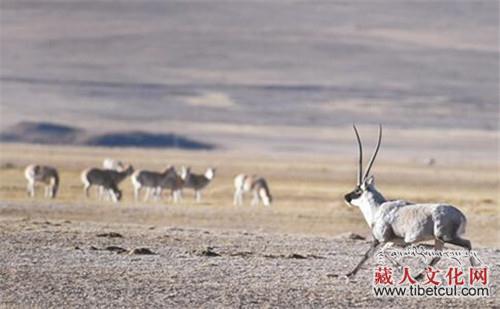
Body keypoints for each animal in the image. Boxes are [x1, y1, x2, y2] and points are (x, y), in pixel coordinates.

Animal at [344, 124, 476, 278]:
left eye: (358, 190)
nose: (346, 197)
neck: (378, 207)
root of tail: (461, 216)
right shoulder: (396, 241)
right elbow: (384, 252)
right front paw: (400, 268)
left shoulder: (381, 239)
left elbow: (368, 254)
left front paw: (350, 273)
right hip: (439, 240)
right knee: (437, 256)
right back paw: (418, 276)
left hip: (446, 237)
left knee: (467, 244)